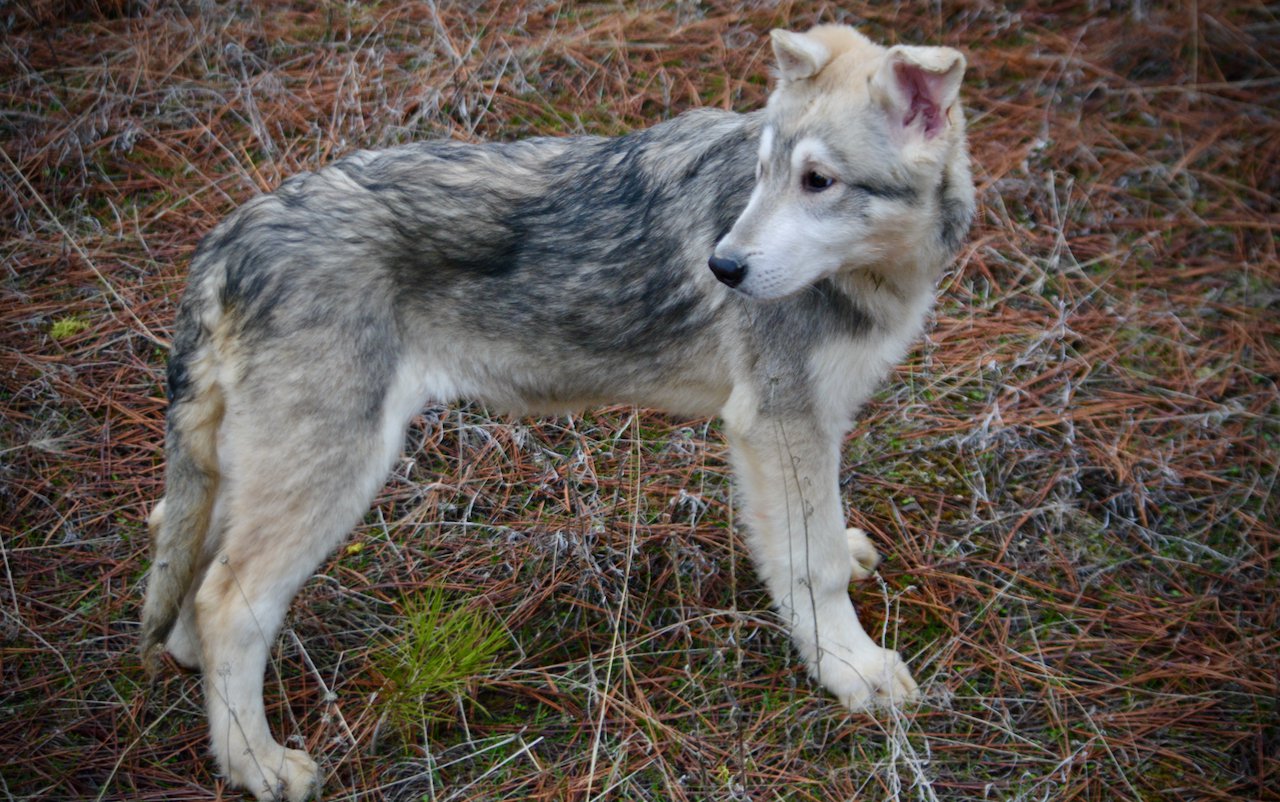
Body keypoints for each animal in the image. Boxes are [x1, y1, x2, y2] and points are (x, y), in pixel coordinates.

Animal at [140, 25, 967, 802]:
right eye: (765, 175)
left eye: (817, 181)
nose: (722, 268)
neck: (879, 273)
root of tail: (231, 236)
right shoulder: (776, 424)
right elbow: (812, 565)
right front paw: (853, 670)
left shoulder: (806, 427)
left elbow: (815, 535)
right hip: (335, 472)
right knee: (227, 604)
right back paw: (258, 766)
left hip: (257, 469)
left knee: (186, 571)